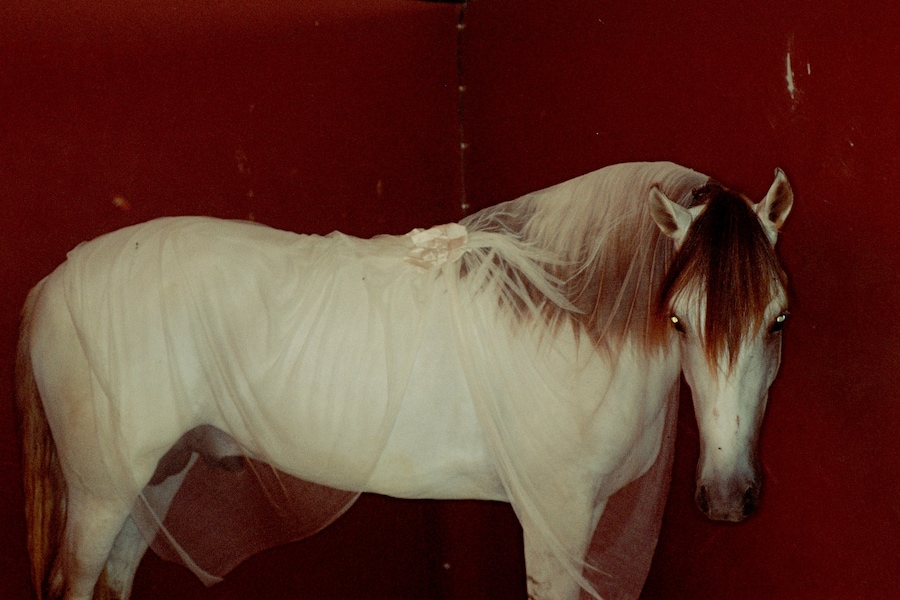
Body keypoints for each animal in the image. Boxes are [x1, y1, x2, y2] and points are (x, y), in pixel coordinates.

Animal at [16, 161, 792, 600]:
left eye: (779, 319)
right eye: (679, 321)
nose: (728, 497)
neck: (569, 324)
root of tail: (52, 283)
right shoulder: (557, 521)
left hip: (154, 478)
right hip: (101, 491)